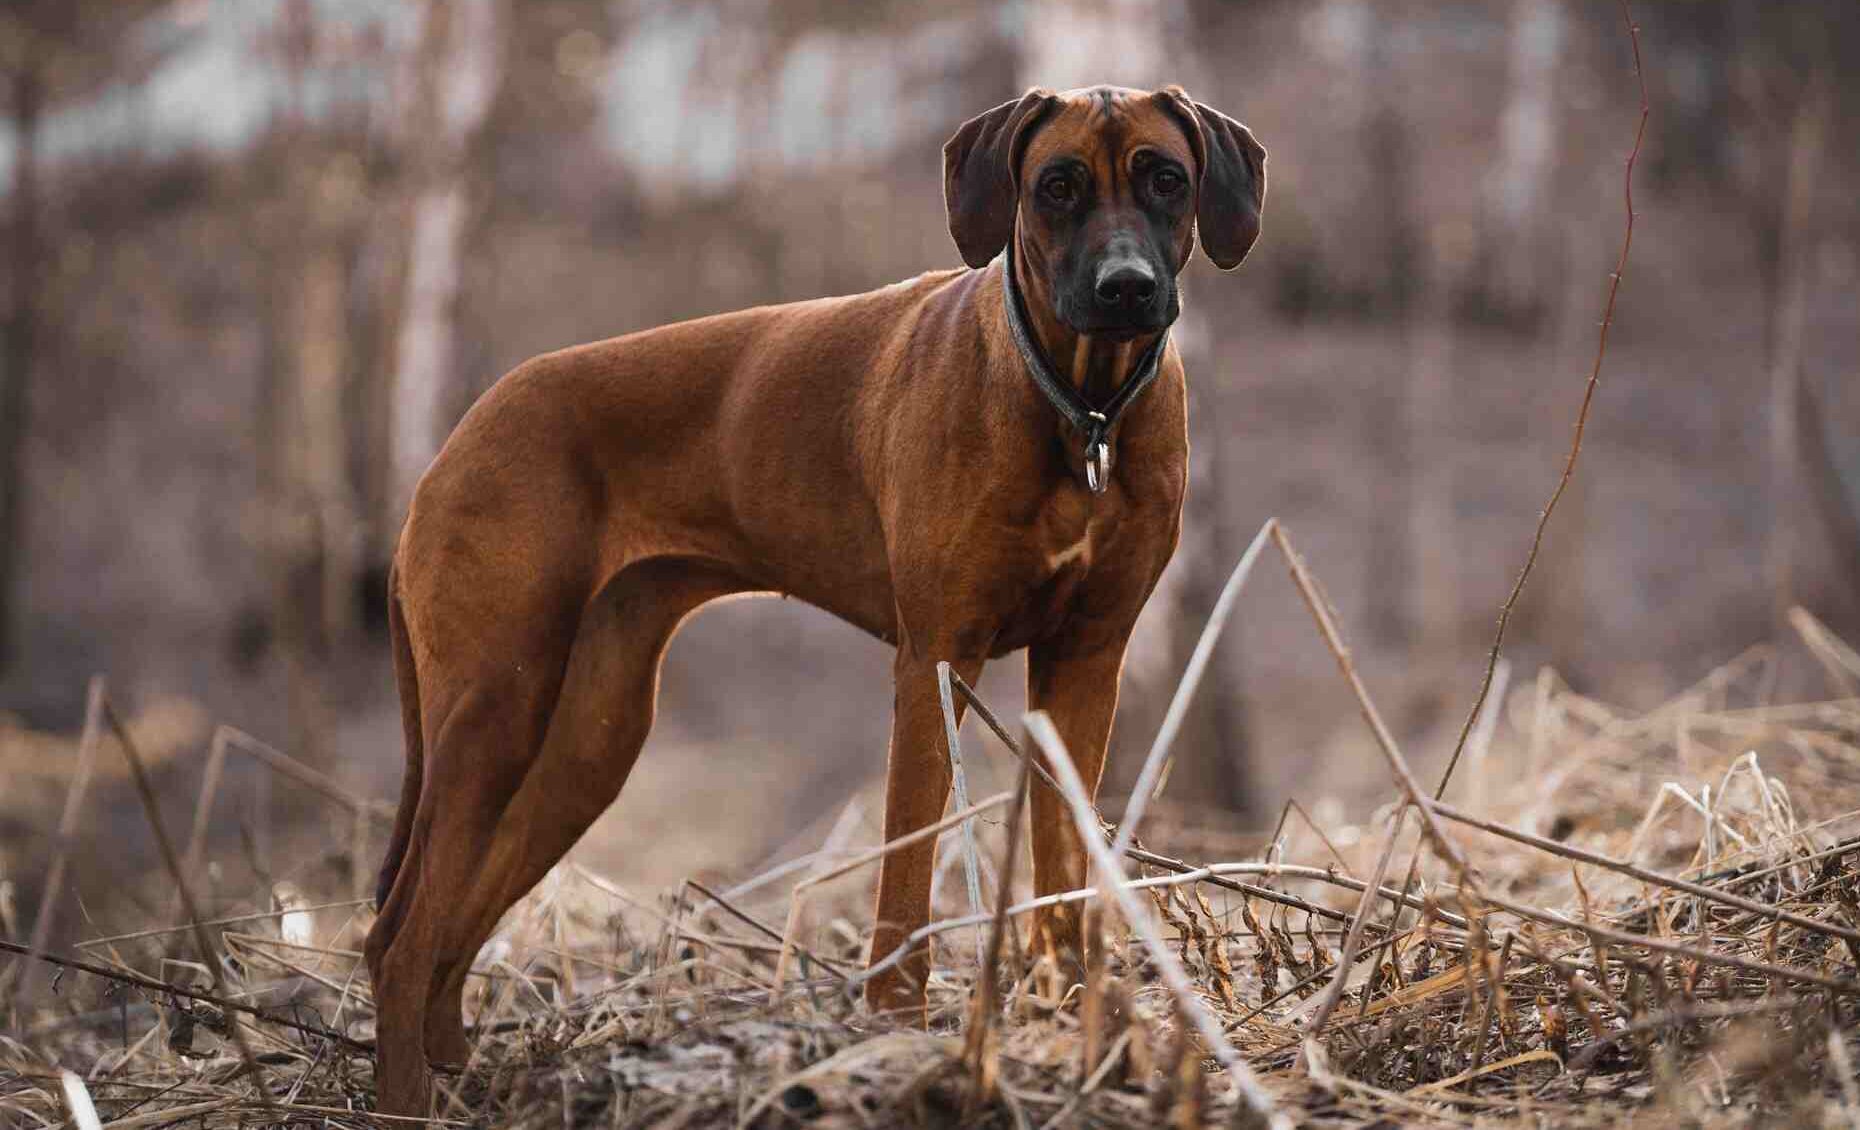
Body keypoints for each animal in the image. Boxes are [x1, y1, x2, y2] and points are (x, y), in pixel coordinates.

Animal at [362, 85, 1264, 1115]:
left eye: (1167, 179)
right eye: (1058, 186)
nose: (1126, 288)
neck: (1083, 411)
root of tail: (455, 442)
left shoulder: (1087, 663)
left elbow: (1063, 873)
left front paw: (1074, 1024)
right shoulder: (934, 662)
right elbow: (906, 875)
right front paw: (897, 1035)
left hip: (584, 742)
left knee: (449, 936)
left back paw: (460, 1079)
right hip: (495, 712)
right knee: (400, 943)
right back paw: (406, 1099)